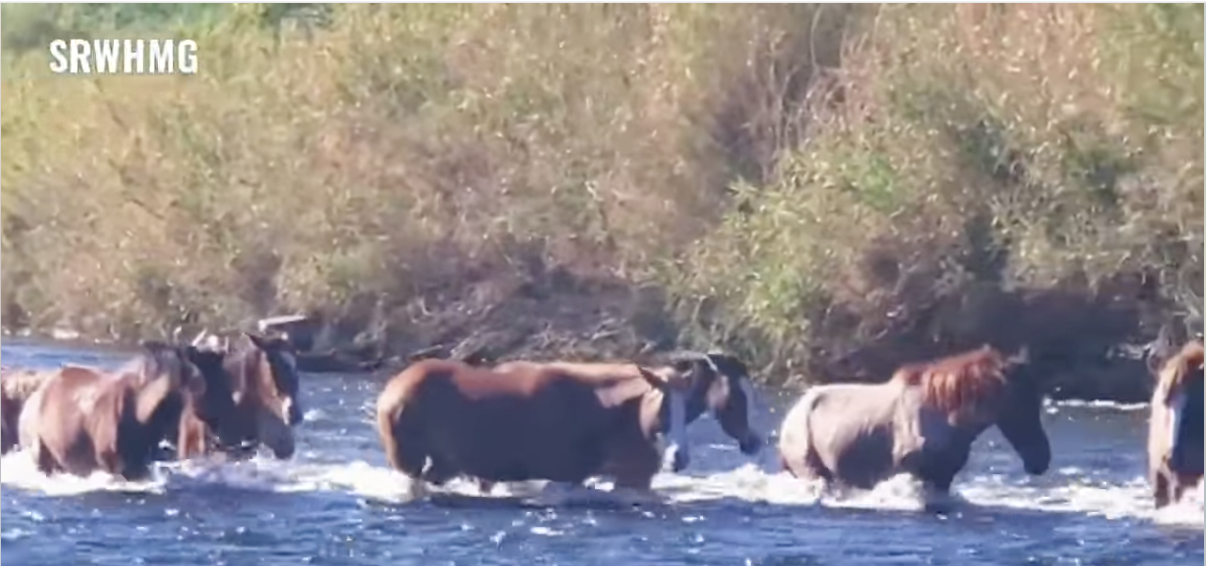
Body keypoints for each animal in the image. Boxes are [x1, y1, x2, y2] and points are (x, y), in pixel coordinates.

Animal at [11, 341, 244, 480]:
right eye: (201, 377)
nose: (219, 418)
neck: (144, 413)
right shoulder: (109, 456)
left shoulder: (140, 459)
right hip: (39, 445)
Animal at [376, 356, 706, 500]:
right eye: (664, 407)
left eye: (689, 408)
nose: (680, 458)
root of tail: (391, 391)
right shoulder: (563, 476)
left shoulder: (628, 477)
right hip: (410, 462)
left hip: (442, 464)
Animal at [778, 344, 1049, 498]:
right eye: (1019, 402)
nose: (1041, 460)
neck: (948, 420)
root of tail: (790, 416)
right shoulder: (910, 469)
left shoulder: (943, 477)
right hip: (809, 469)